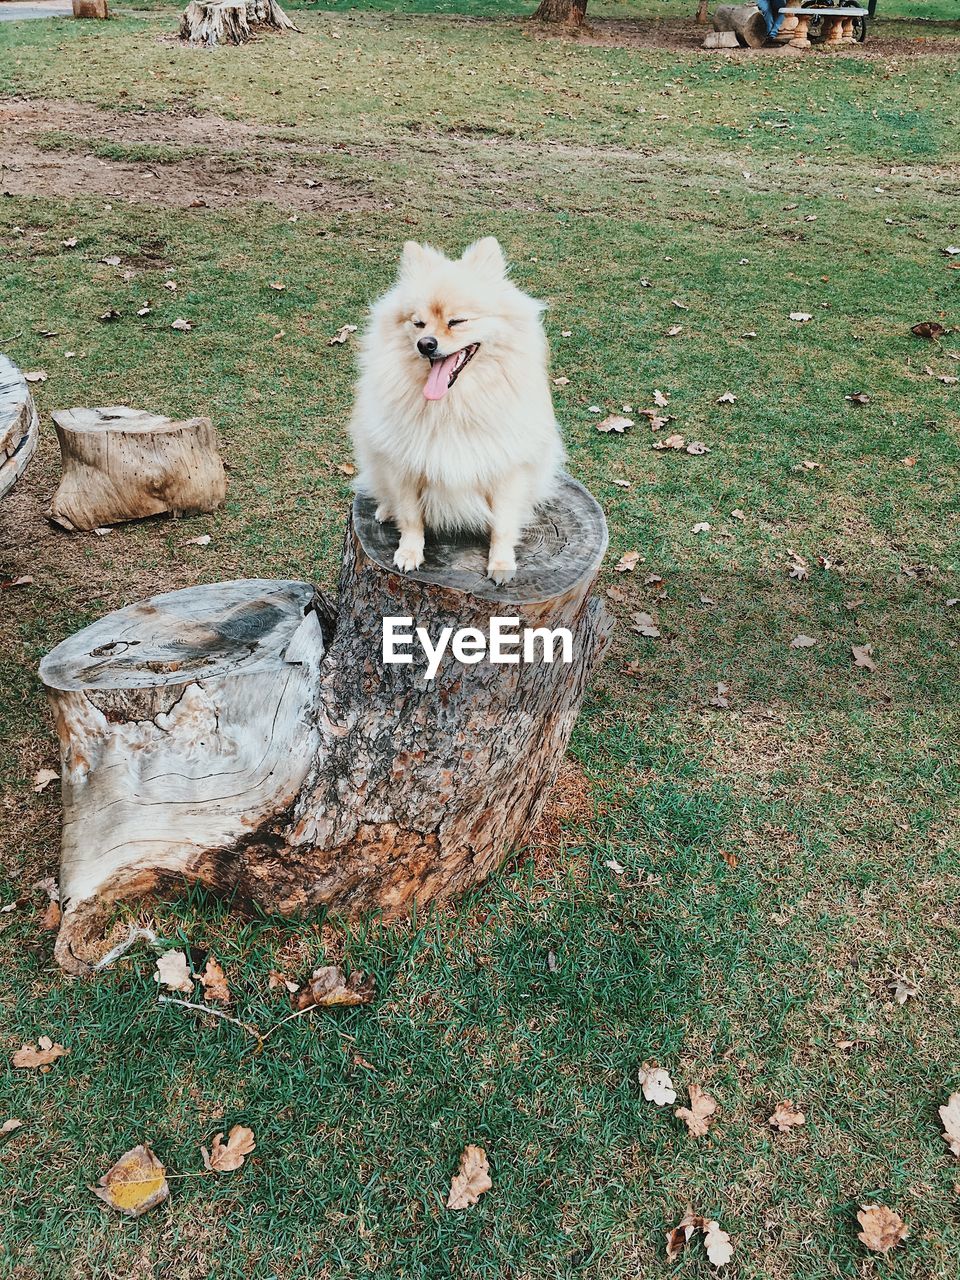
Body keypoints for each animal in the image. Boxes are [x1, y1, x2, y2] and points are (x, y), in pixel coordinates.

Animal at [350, 236, 563, 586]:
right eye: (418, 323)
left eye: (457, 321)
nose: (426, 343)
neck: (452, 405)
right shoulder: (404, 463)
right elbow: (411, 517)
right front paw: (409, 553)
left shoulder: (507, 468)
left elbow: (503, 523)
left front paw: (501, 562)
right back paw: (386, 510)